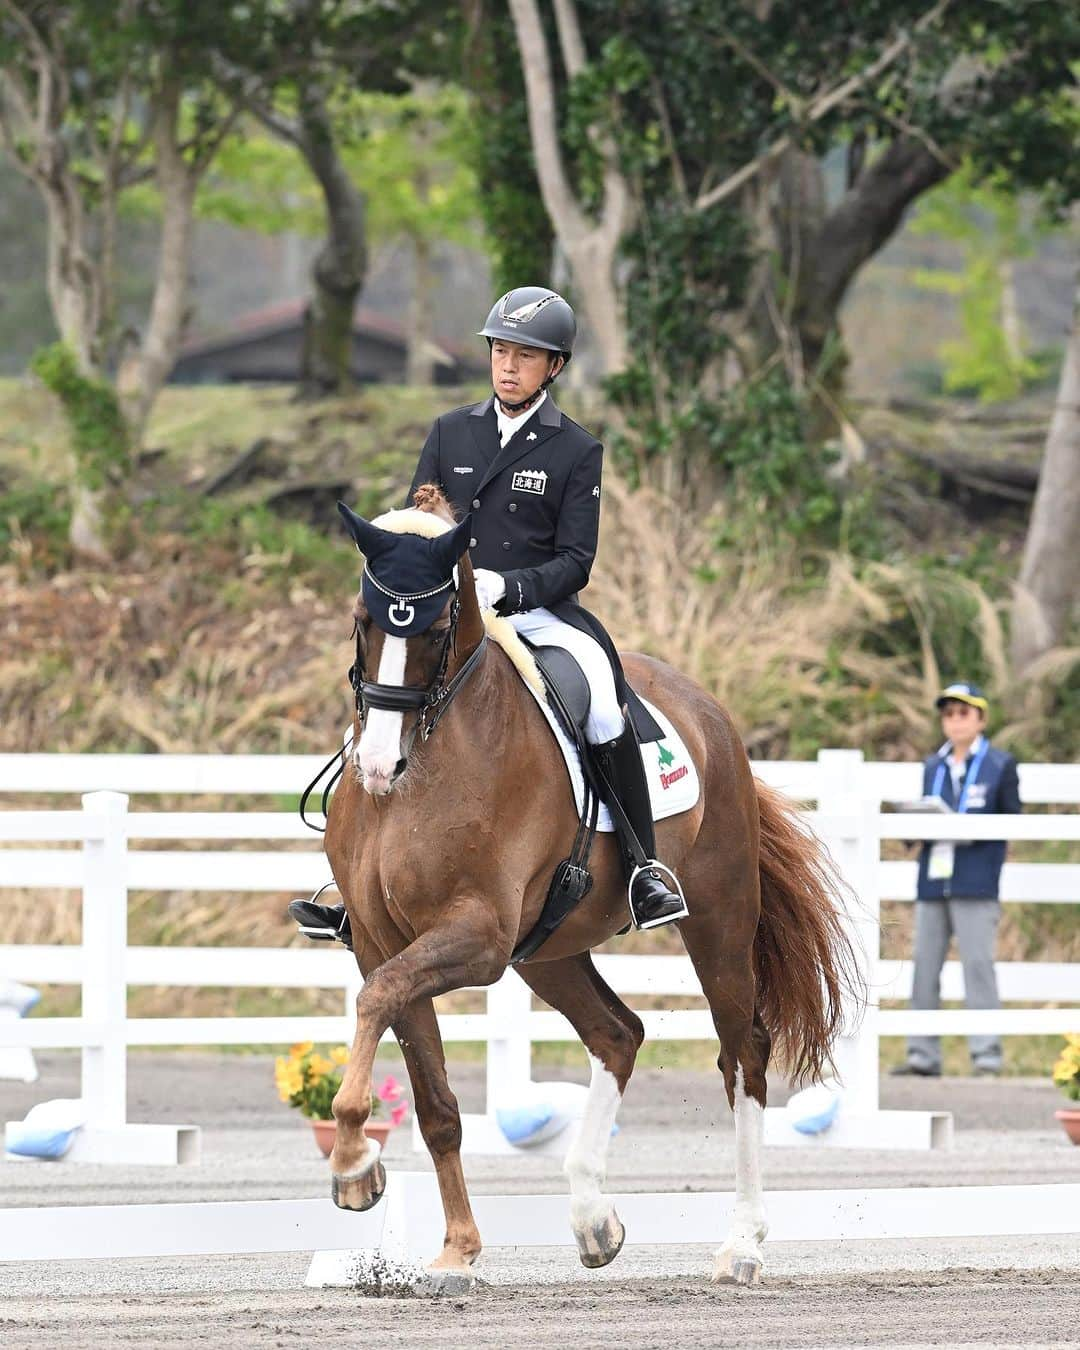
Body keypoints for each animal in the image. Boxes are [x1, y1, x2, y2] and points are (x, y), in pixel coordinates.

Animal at [325, 486, 858, 1285]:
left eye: (440, 626)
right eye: (363, 620)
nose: (380, 767)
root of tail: (706, 707)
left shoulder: (477, 939)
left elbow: (377, 999)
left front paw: (355, 1162)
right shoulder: (382, 939)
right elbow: (432, 1095)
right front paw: (455, 1249)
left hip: (718, 922)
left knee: (744, 1056)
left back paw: (741, 1244)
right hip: (547, 953)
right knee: (618, 1033)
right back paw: (592, 1220)